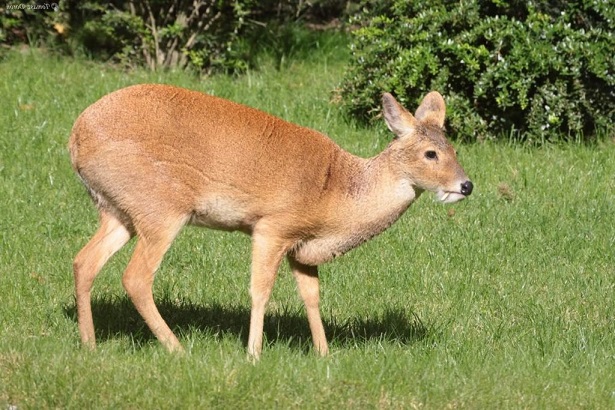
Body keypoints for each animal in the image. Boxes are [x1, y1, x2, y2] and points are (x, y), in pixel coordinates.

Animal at [68, 84, 472, 358]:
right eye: (430, 153)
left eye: (454, 148)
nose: (466, 185)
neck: (337, 190)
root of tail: (75, 138)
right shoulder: (272, 226)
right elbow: (260, 290)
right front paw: (254, 354)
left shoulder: (300, 244)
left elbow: (311, 295)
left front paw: (323, 353)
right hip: (161, 207)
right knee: (135, 277)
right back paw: (178, 349)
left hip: (119, 210)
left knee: (84, 261)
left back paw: (89, 344)